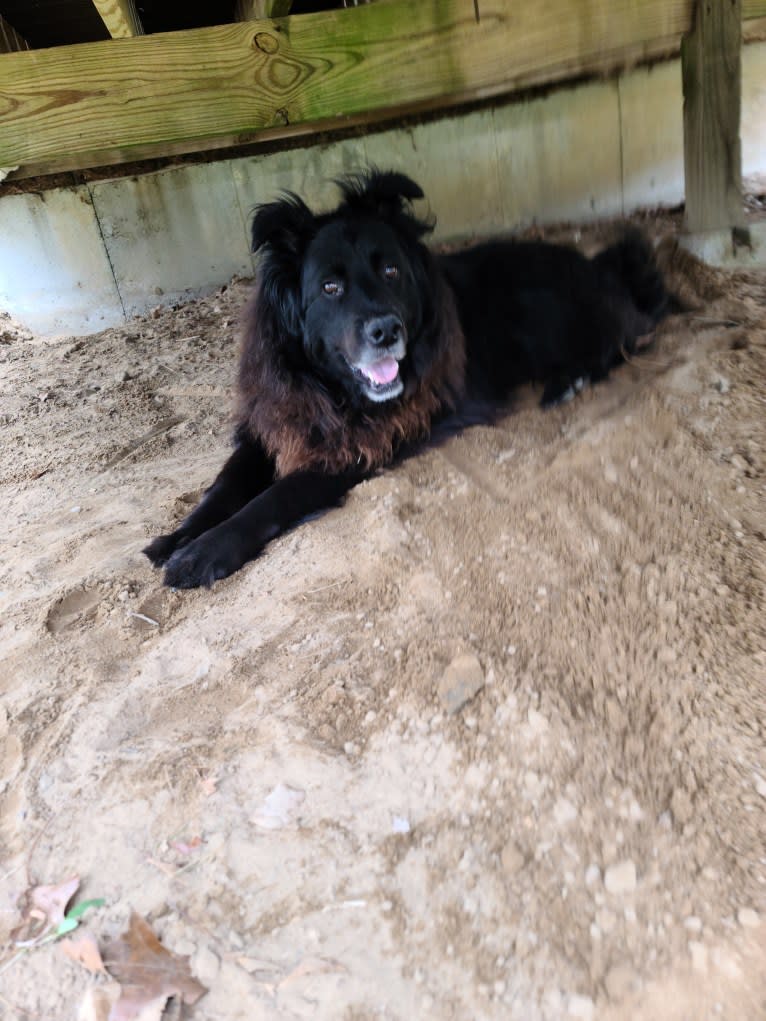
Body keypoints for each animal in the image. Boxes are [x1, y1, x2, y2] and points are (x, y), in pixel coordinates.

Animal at [145, 170, 669, 588]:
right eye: (330, 287)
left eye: (391, 270)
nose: (386, 330)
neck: (331, 390)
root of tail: (602, 268)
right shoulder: (277, 419)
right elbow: (227, 481)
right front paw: (180, 535)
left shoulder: (367, 443)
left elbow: (278, 494)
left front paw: (204, 553)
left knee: (622, 340)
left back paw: (568, 383)